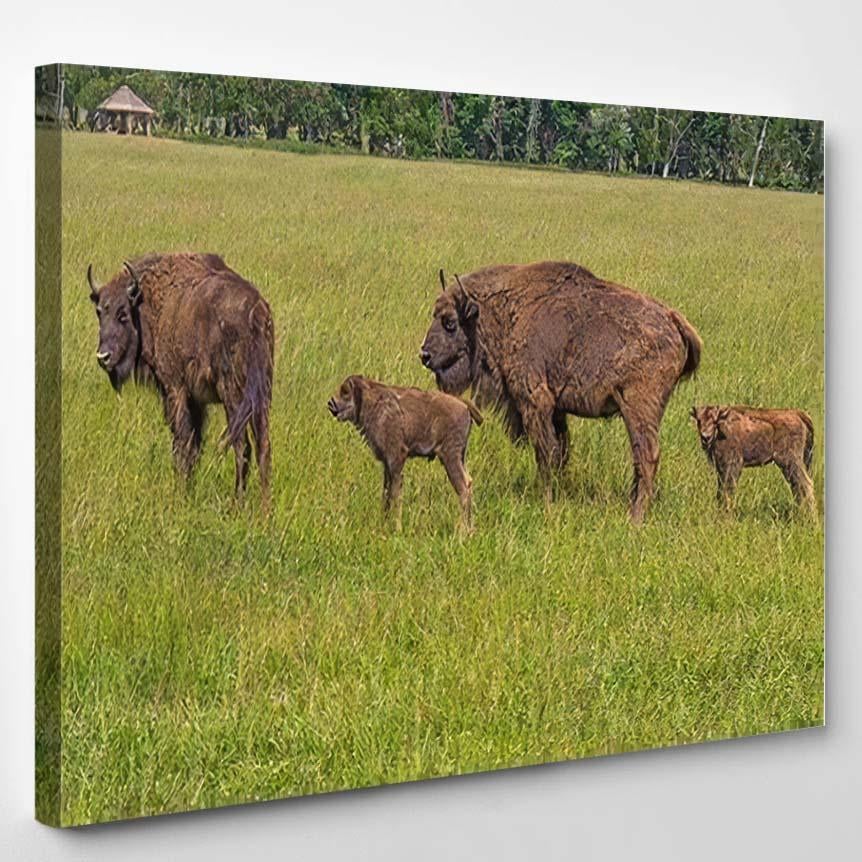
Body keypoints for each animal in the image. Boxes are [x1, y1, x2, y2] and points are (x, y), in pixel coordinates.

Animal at [87, 253, 274, 502]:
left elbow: (182, 443)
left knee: (242, 446)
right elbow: (194, 445)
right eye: (99, 312)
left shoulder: (175, 390)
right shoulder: (196, 402)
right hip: (261, 397)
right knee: (263, 447)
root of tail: (257, 312)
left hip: (234, 397)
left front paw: (181, 491)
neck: (149, 301)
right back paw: (265, 507)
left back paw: (238, 503)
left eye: (122, 314)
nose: (103, 356)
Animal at [328, 378, 482, 532]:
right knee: (469, 483)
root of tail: (463, 405)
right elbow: (386, 494)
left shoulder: (397, 459)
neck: (373, 404)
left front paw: (397, 528)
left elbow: (396, 494)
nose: (331, 403)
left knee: (463, 488)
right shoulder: (387, 465)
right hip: (460, 457)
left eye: (345, 391)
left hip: (450, 457)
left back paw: (462, 531)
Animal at [422, 260, 704, 524]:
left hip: (637, 410)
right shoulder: (556, 412)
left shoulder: (535, 404)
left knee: (647, 455)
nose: (424, 355)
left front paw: (546, 502)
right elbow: (561, 453)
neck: (502, 311)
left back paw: (635, 517)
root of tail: (674, 320)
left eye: (450, 322)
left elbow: (547, 455)